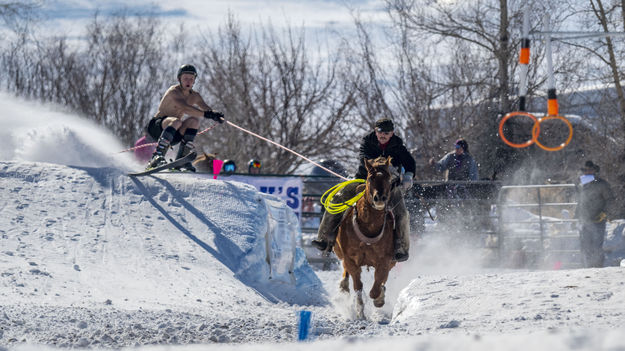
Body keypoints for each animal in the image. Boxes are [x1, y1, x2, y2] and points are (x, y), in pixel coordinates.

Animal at [332, 156, 394, 320]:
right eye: (370, 177)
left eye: (389, 178)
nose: (380, 198)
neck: (369, 227)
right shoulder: (351, 259)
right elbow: (358, 286)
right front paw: (360, 312)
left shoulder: (385, 261)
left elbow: (377, 287)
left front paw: (379, 299)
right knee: (346, 274)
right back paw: (343, 287)